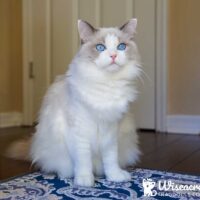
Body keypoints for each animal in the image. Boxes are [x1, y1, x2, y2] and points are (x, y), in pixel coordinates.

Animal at [10, 18, 141, 188]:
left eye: (121, 47)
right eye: (100, 47)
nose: (113, 55)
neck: (106, 84)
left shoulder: (111, 131)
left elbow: (111, 159)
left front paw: (114, 176)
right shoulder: (79, 132)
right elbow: (83, 160)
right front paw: (85, 180)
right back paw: (66, 174)